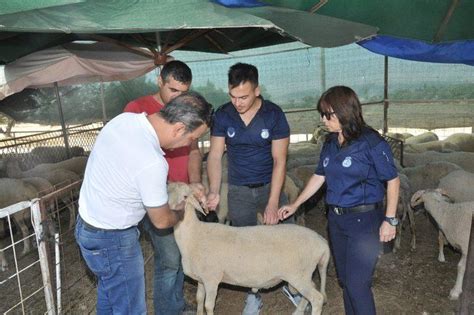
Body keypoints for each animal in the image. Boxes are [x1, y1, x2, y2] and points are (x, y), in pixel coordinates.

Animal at [169, 183, 330, 315]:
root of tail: (322, 243)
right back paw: (298, 311)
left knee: (317, 298)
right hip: (303, 276)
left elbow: (208, 306)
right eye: (166, 195)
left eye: (185, 196)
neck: (194, 235)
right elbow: (199, 300)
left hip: (298, 276)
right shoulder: (201, 280)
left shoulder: (211, 279)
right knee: (312, 289)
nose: (171, 213)